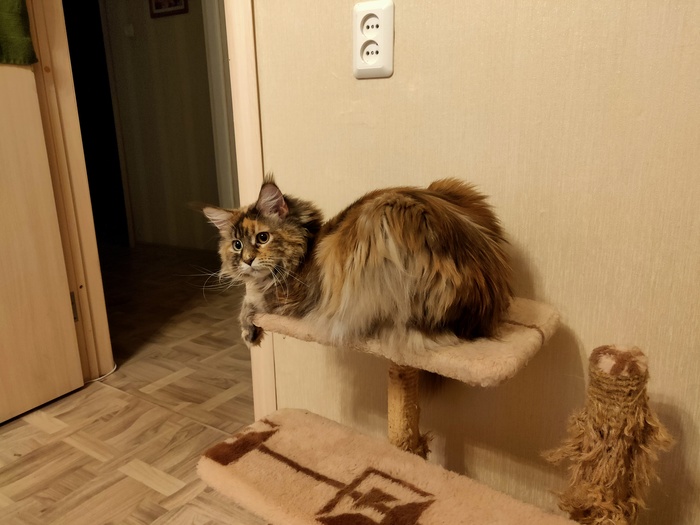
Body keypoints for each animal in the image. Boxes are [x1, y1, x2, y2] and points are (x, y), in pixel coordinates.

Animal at [203, 174, 513, 351]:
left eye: (263, 237)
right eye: (237, 245)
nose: (247, 260)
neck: (307, 247)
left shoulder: (289, 300)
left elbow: (249, 301)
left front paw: (248, 330)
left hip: (379, 221)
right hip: (451, 186)